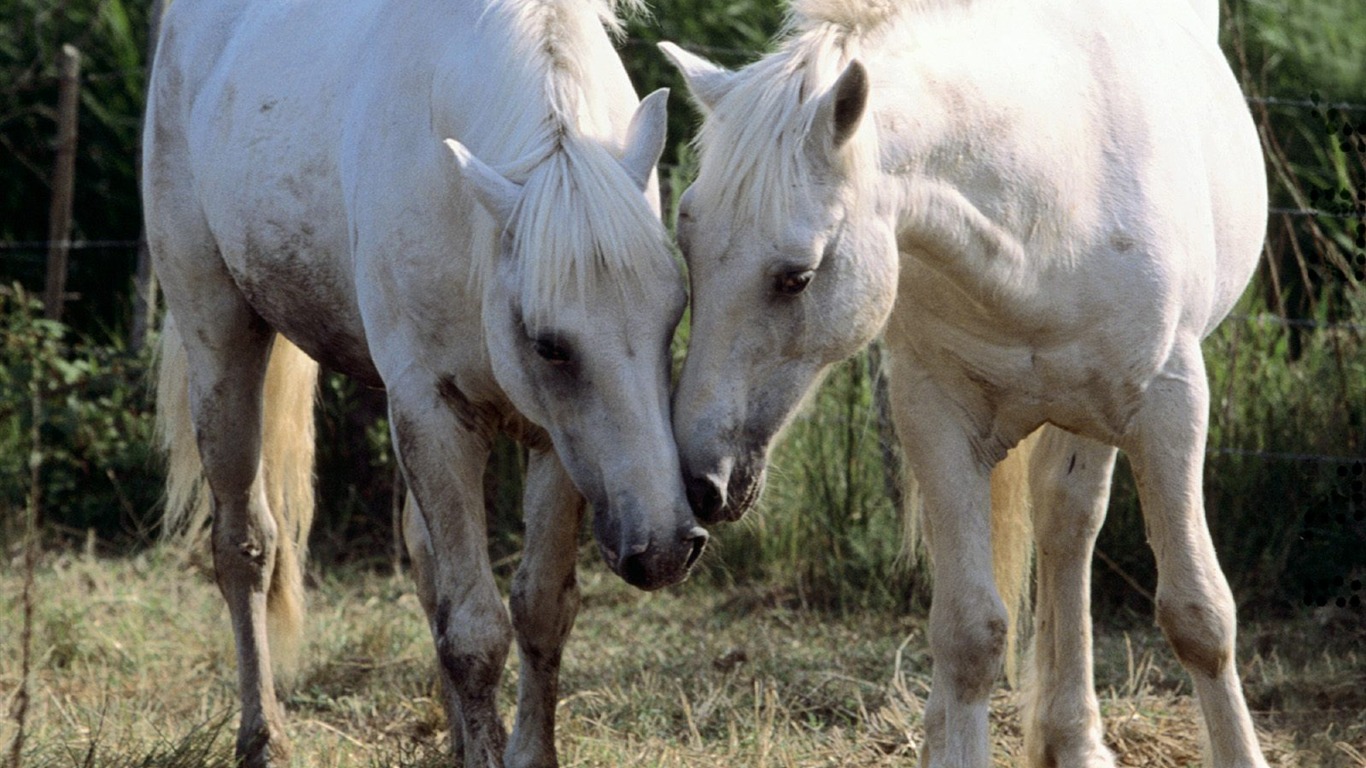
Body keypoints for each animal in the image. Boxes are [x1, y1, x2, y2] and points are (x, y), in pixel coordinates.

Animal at [145, 2, 710, 759]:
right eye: (549, 344)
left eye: (674, 313)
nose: (668, 547)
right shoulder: (434, 412)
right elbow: (474, 632)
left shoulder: (556, 441)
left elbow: (539, 609)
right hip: (220, 339)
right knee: (246, 546)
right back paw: (264, 739)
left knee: (421, 555)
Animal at [661, 1, 1267, 765]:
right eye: (684, 246)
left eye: (795, 277)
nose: (699, 480)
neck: (1048, 206)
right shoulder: (935, 414)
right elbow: (969, 635)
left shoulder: (1170, 406)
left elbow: (1199, 615)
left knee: (1069, 526)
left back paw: (1075, 740)